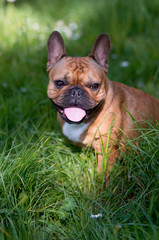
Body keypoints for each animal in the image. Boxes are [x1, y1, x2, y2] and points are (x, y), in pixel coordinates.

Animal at [46, 31, 159, 173]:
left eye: (94, 85)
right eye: (60, 83)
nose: (76, 91)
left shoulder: (106, 148)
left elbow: (103, 169)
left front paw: (98, 179)